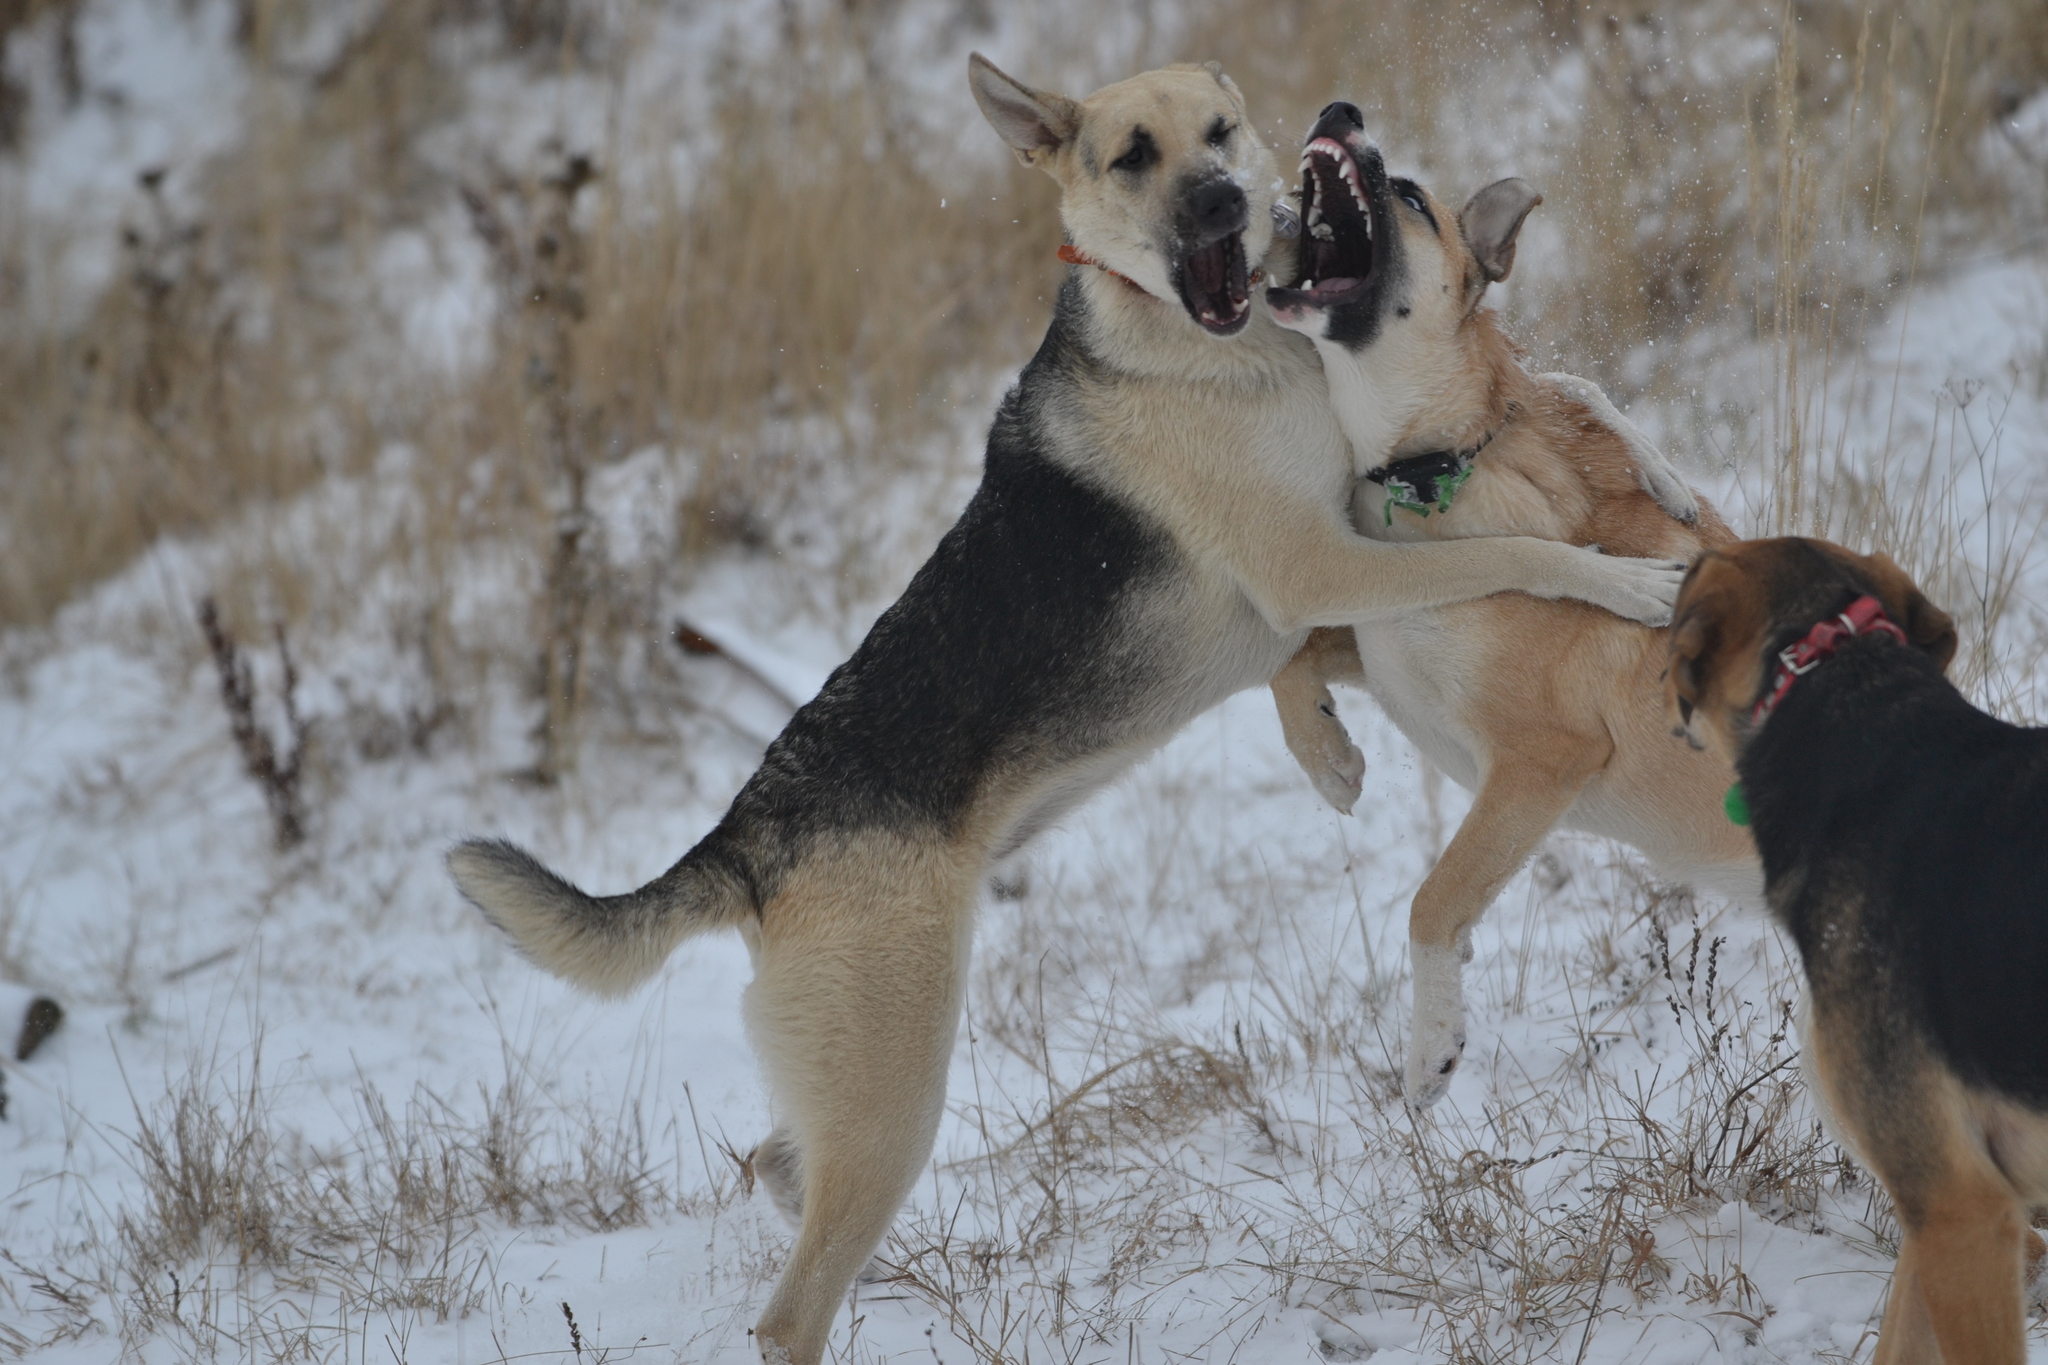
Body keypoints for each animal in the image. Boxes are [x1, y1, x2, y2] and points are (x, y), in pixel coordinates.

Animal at [1253, 106, 1753, 1113]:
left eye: (1409, 196)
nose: (1338, 113)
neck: (1431, 468)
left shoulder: (1537, 761)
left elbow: (1434, 899)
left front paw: (1431, 1048)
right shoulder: (1387, 641)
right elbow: (1299, 657)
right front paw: (1327, 756)